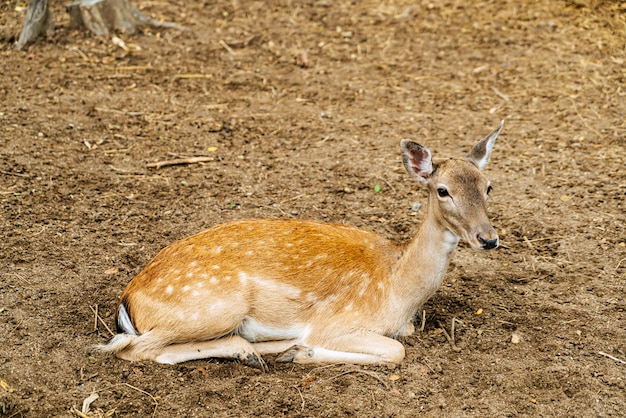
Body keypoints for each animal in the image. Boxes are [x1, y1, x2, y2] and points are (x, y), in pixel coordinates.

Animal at [98, 121, 508, 370]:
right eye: (443, 190)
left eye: (488, 186)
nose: (488, 238)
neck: (399, 289)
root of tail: (128, 300)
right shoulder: (339, 321)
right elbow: (395, 350)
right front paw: (302, 352)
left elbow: (402, 339)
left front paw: (294, 350)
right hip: (212, 305)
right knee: (135, 349)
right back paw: (260, 351)